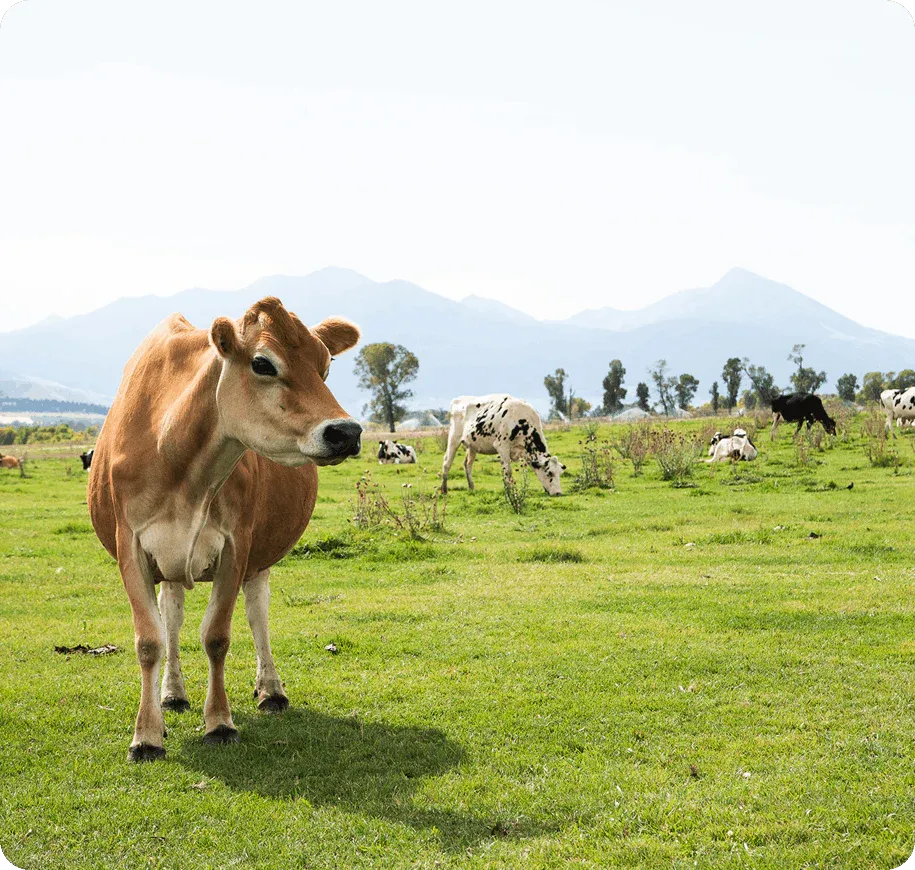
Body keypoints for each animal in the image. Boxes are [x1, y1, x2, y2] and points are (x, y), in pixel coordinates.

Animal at [87, 297, 361, 762]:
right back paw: (172, 693)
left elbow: (217, 636)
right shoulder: (131, 545)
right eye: (262, 363)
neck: (176, 453)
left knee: (257, 614)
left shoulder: (237, 544)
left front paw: (218, 723)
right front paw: (147, 735)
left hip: (260, 557)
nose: (346, 431)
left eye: (325, 366)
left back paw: (270, 690)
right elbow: (149, 640)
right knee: (172, 614)